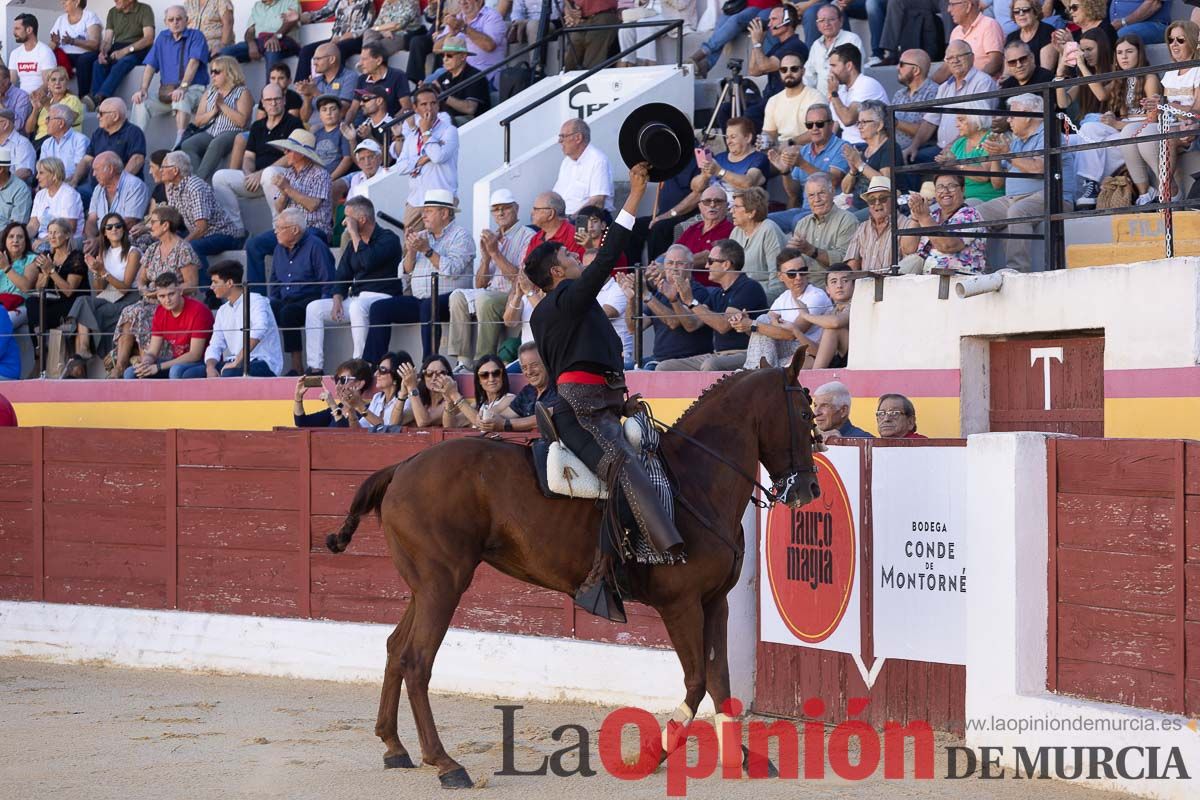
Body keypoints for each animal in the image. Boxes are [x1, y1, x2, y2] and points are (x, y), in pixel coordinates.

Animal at [324, 352, 820, 786]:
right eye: (803, 412)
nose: (808, 490)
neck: (694, 480)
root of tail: (402, 465)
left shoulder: (716, 601)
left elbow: (720, 680)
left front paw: (742, 757)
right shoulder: (680, 605)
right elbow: (697, 680)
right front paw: (648, 756)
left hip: (425, 586)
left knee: (394, 647)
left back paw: (395, 747)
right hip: (443, 584)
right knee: (416, 659)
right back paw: (445, 763)